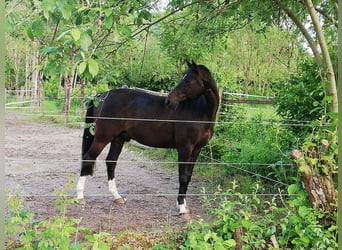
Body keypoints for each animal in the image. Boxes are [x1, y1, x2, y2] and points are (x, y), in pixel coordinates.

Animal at [77, 61, 219, 214]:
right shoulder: (184, 148)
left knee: (111, 162)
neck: (200, 112)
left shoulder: (196, 150)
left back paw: (117, 196)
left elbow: (188, 176)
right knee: (88, 158)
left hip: (118, 139)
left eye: (188, 80)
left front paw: (183, 204)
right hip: (103, 137)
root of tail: (101, 96)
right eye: (184, 79)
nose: (169, 101)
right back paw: (80, 197)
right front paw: (181, 207)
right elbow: (182, 176)